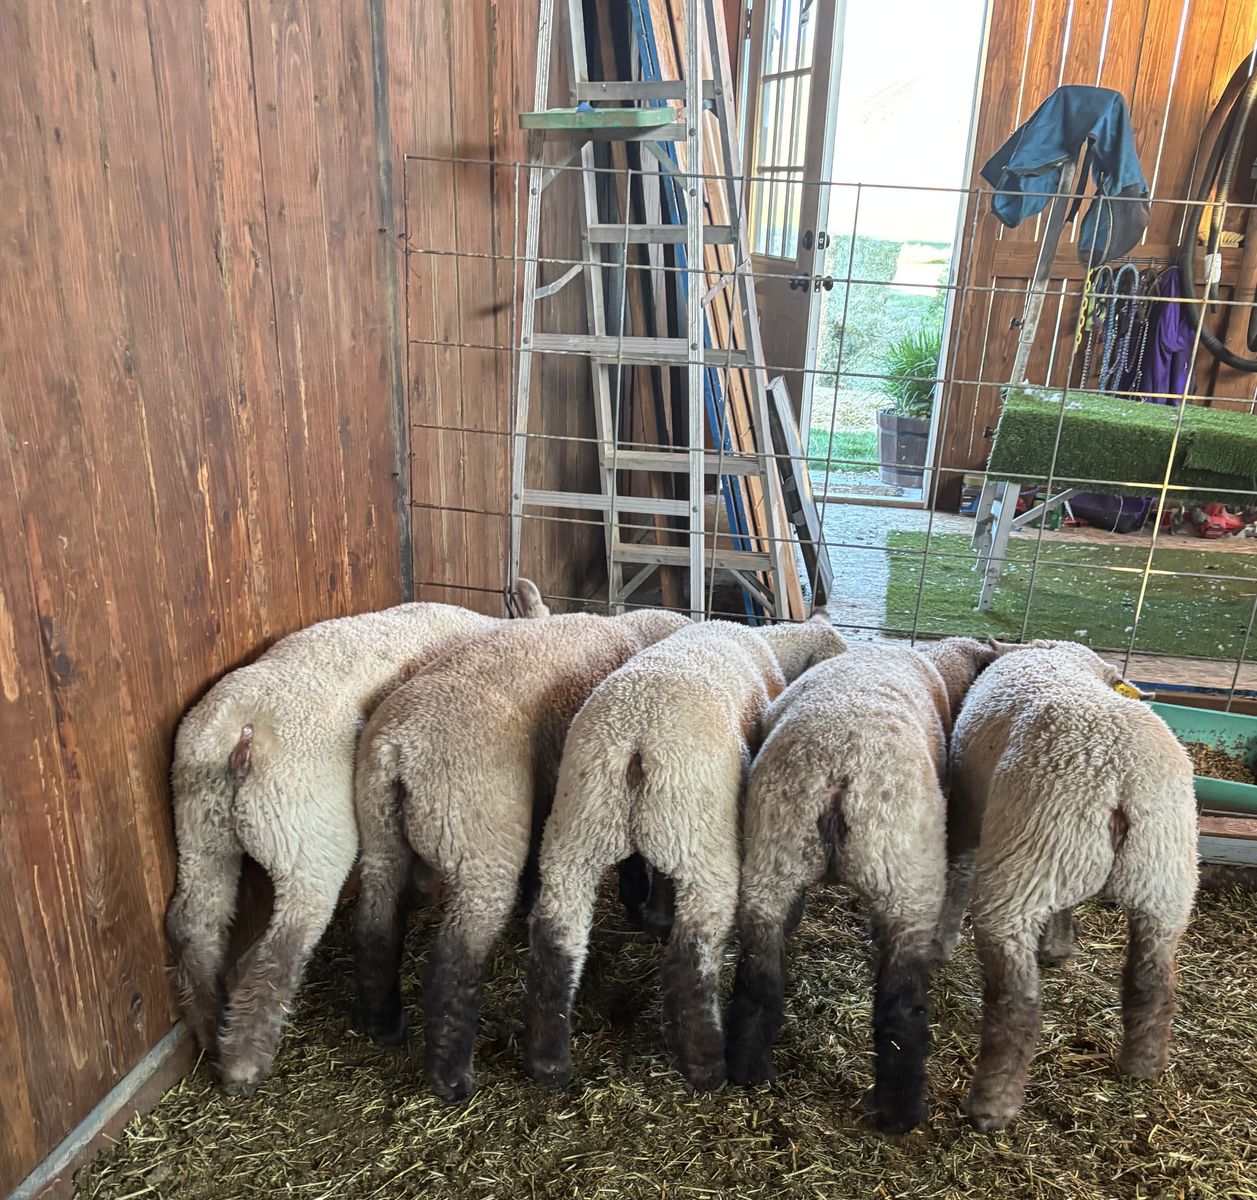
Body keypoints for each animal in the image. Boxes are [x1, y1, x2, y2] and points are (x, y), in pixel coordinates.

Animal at [165, 581, 548, 1094]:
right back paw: (244, 1067)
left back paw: (209, 1028)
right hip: (306, 835)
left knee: (192, 924)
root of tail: (239, 734)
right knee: (278, 953)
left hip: (199, 824)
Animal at [352, 606, 690, 1103]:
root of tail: (399, 750)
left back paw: (385, 1026)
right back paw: (452, 1079)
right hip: (480, 846)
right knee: (454, 963)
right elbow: (628, 860)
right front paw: (637, 904)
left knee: (376, 927)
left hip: (381, 839)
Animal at [522, 614, 847, 1093]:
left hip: (579, 833)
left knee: (555, 943)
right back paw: (706, 1065)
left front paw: (657, 917)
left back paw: (547, 1063)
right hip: (699, 839)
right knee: (691, 960)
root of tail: (634, 740)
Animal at [724, 637, 998, 1133]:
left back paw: (749, 1070)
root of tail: (840, 772)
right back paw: (899, 1114)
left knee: (759, 980)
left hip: (772, 862)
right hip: (906, 881)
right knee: (901, 1009)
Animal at [944, 639, 1197, 1132]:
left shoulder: (968, 813)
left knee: (1016, 1002)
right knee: (1153, 980)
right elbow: (1065, 907)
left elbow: (956, 875)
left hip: (1024, 865)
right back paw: (1143, 1066)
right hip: (1164, 880)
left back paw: (991, 1106)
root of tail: (1122, 779)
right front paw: (1058, 948)